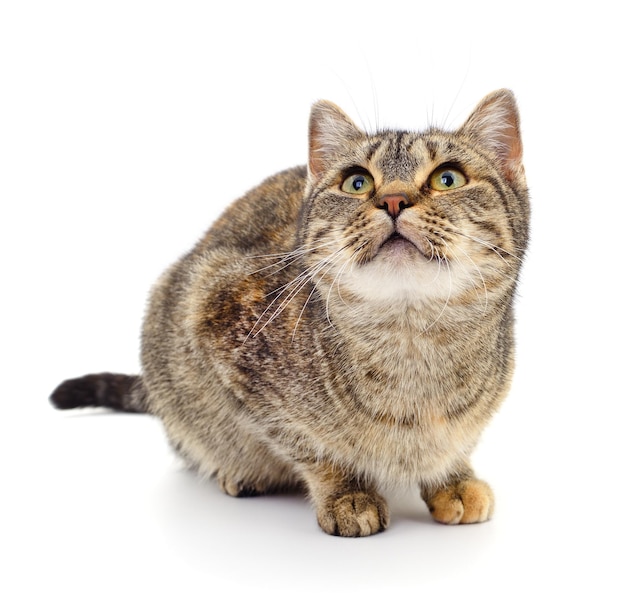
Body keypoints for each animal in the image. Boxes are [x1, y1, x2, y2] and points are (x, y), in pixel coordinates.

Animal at [51, 87, 528, 536]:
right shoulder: (213, 311)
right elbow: (309, 444)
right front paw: (346, 493)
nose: (393, 200)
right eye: (357, 182)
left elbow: (457, 443)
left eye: (448, 178)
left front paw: (453, 478)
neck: (414, 344)